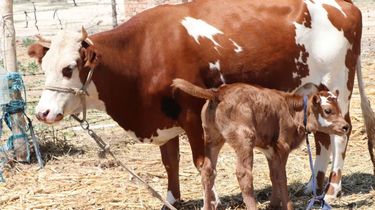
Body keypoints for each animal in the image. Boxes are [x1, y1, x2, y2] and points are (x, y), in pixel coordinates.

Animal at [27, 0, 374, 207]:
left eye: (68, 68)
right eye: (44, 67)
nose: (43, 113)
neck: (143, 52)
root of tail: (346, 6)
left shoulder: (192, 115)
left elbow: (201, 163)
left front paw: (214, 200)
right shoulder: (164, 119)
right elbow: (170, 162)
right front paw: (171, 200)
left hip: (337, 86)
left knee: (340, 136)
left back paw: (332, 190)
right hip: (314, 91)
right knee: (323, 138)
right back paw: (313, 185)